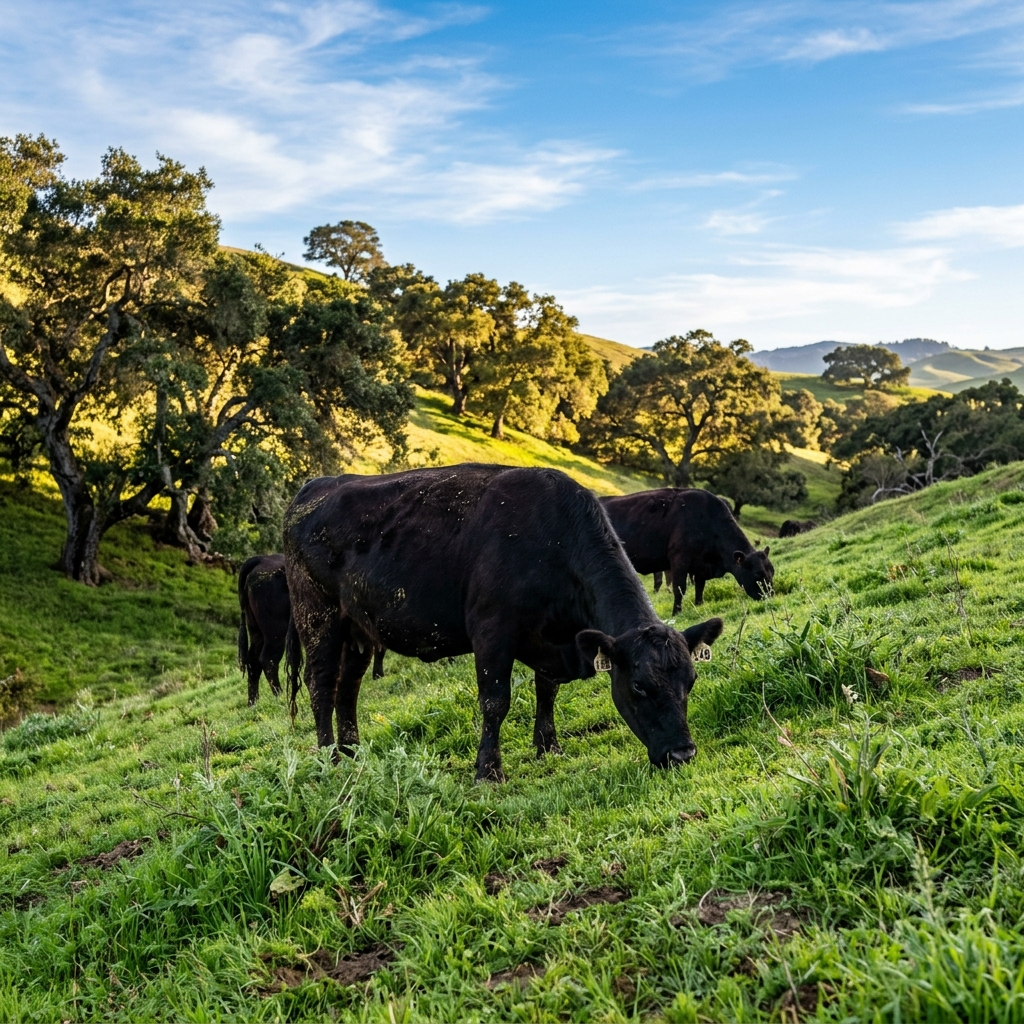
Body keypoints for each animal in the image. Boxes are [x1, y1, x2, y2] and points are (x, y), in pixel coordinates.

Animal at [240, 554, 385, 707]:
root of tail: (261, 559)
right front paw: (379, 675)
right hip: (275, 632)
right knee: (268, 659)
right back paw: (279, 695)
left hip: (257, 631)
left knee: (253, 661)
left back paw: (253, 702)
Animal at [283, 464, 724, 782]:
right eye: (638, 686)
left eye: (691, 682)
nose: (683, 753)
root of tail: (314, 487)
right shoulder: (492, 631)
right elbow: (496, 702)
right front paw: (488, 770)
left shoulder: (554, 636)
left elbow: (547, 691)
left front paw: (548, 746)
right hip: (317, 617)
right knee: (321, 685)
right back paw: (328, 759)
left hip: (359, 630)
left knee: (347, 689)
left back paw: (352, 753)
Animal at [601, 489, 774, 615]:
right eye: (758, 575)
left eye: (772, 572)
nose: (771, 596)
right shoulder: (679, 560)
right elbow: (679, 589)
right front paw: (676, 613)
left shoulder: (701, 566)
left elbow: (700, 587)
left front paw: (699, 605)